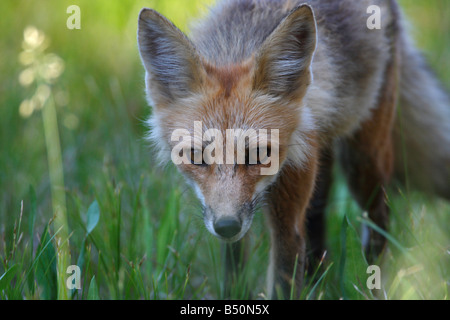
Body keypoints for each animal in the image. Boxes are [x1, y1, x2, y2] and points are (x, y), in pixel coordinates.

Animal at [137, 0, 450, 298]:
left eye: (259, 154)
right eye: (195, 156)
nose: (226, 226)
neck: (237, 44)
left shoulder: (288, 208)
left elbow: (283, 276)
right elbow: (235, 271)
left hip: (363, 160)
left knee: (378, 223)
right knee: (318, 216)